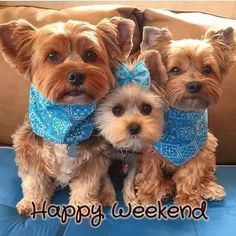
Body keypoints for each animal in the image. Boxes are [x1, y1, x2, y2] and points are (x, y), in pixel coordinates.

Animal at [0, 17, 135, 215]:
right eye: (52, 56)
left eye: (90, 55)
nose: (76, 75)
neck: (66, 118)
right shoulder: (29, 149)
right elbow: (34, 181)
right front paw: (32, 202)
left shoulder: (94, 158)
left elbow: (87, 185)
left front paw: (84, 206)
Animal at [135, 26, 236, 206]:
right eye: (175, 70)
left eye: (207, 69)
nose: (194, 85)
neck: (183, 114)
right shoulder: (149, 150)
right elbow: (151, 171)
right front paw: (150, 194)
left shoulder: (199, 150)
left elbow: (190, 175)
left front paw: (187, 199)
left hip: (209, 151)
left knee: (207, 174)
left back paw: (209, 188)